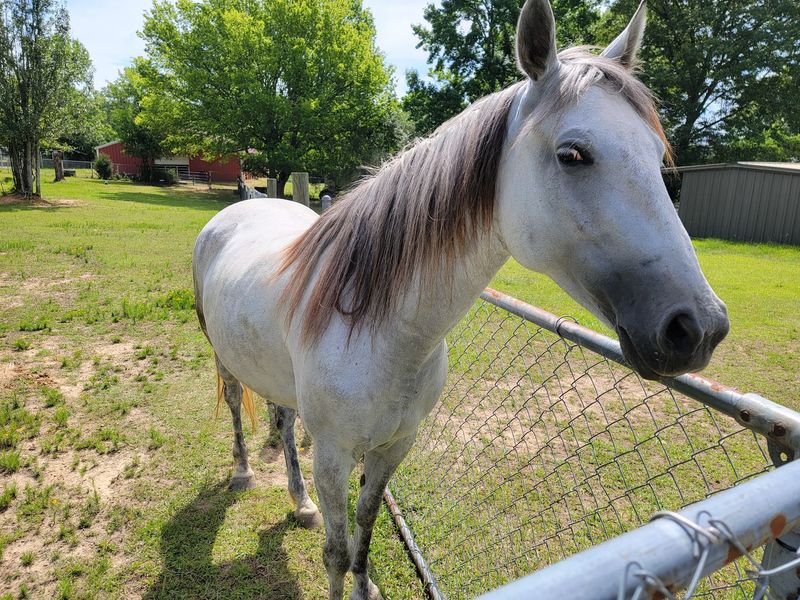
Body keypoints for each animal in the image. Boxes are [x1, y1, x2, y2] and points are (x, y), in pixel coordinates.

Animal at [192, 1, 729, 597]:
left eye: (658, 157)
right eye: (573, 154)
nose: (699, 327)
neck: (382, 334)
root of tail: (242, 206)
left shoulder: (393, 448)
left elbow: (364, 528)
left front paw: (364, 584)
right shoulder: (333, 457)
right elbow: (335, 552)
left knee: (283, 423)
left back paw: (299, 501)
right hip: (223, 357)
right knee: (236, 404)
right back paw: (243, 472)